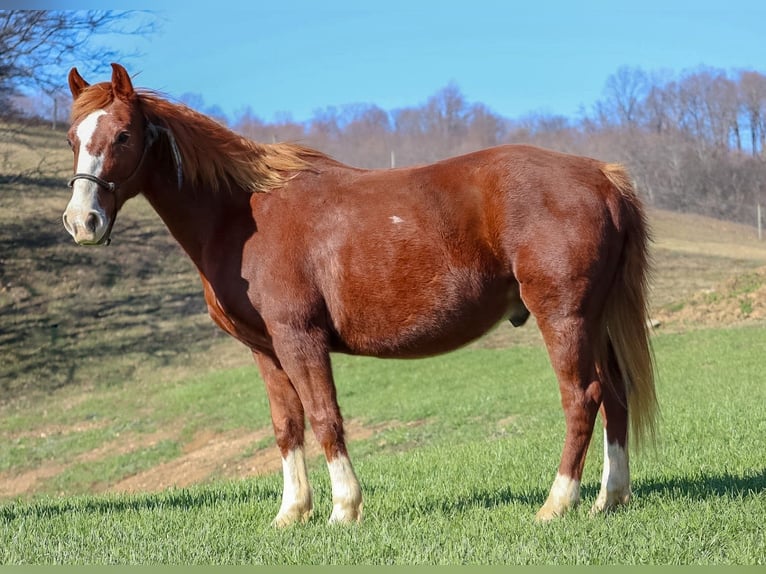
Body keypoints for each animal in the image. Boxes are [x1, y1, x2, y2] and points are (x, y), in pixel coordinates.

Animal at [62, 63, 657, 526]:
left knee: (582, 397)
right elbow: (287, 426)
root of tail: (601, 175)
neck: (245, 215)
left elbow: (325, 416)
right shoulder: (265, 349)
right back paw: (610, 498)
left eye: (123, 135)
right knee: (616, 394)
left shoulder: (299, 338)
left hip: (564, 317)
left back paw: (557, 504)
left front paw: (343, 509)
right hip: (596, 320)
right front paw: (291, 514)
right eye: (73, 138)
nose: (82, 222)